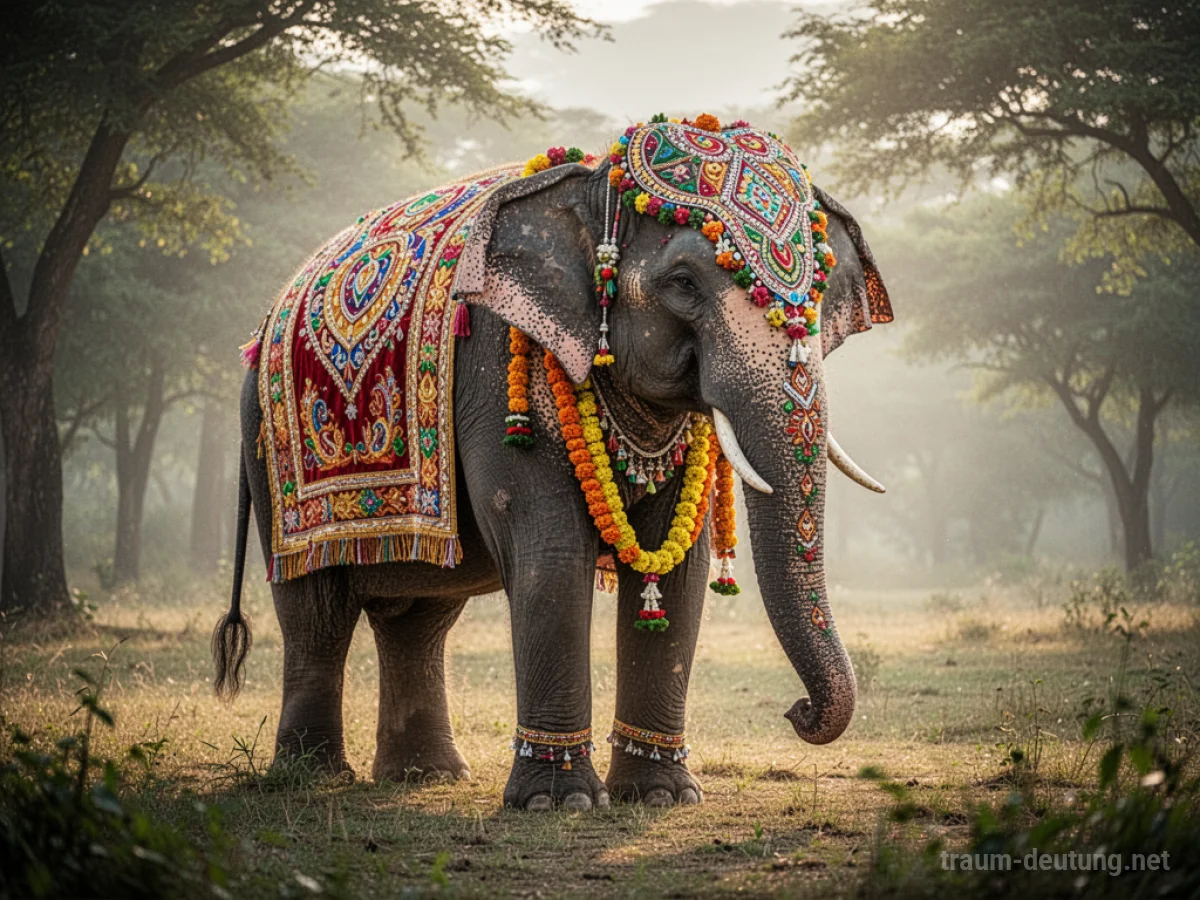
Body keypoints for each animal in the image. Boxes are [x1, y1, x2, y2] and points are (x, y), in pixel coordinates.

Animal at [213, 120, 891, 811]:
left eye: (819, 293)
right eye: (683, 283)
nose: (797, 711)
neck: (591, 186)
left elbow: (678, 565)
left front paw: (661, 797)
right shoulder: (497, 363)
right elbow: (553, 548)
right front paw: (558, 804)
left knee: (421, 614)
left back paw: (427, 777)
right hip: (268, 444)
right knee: (315, 608)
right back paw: (311, 776)